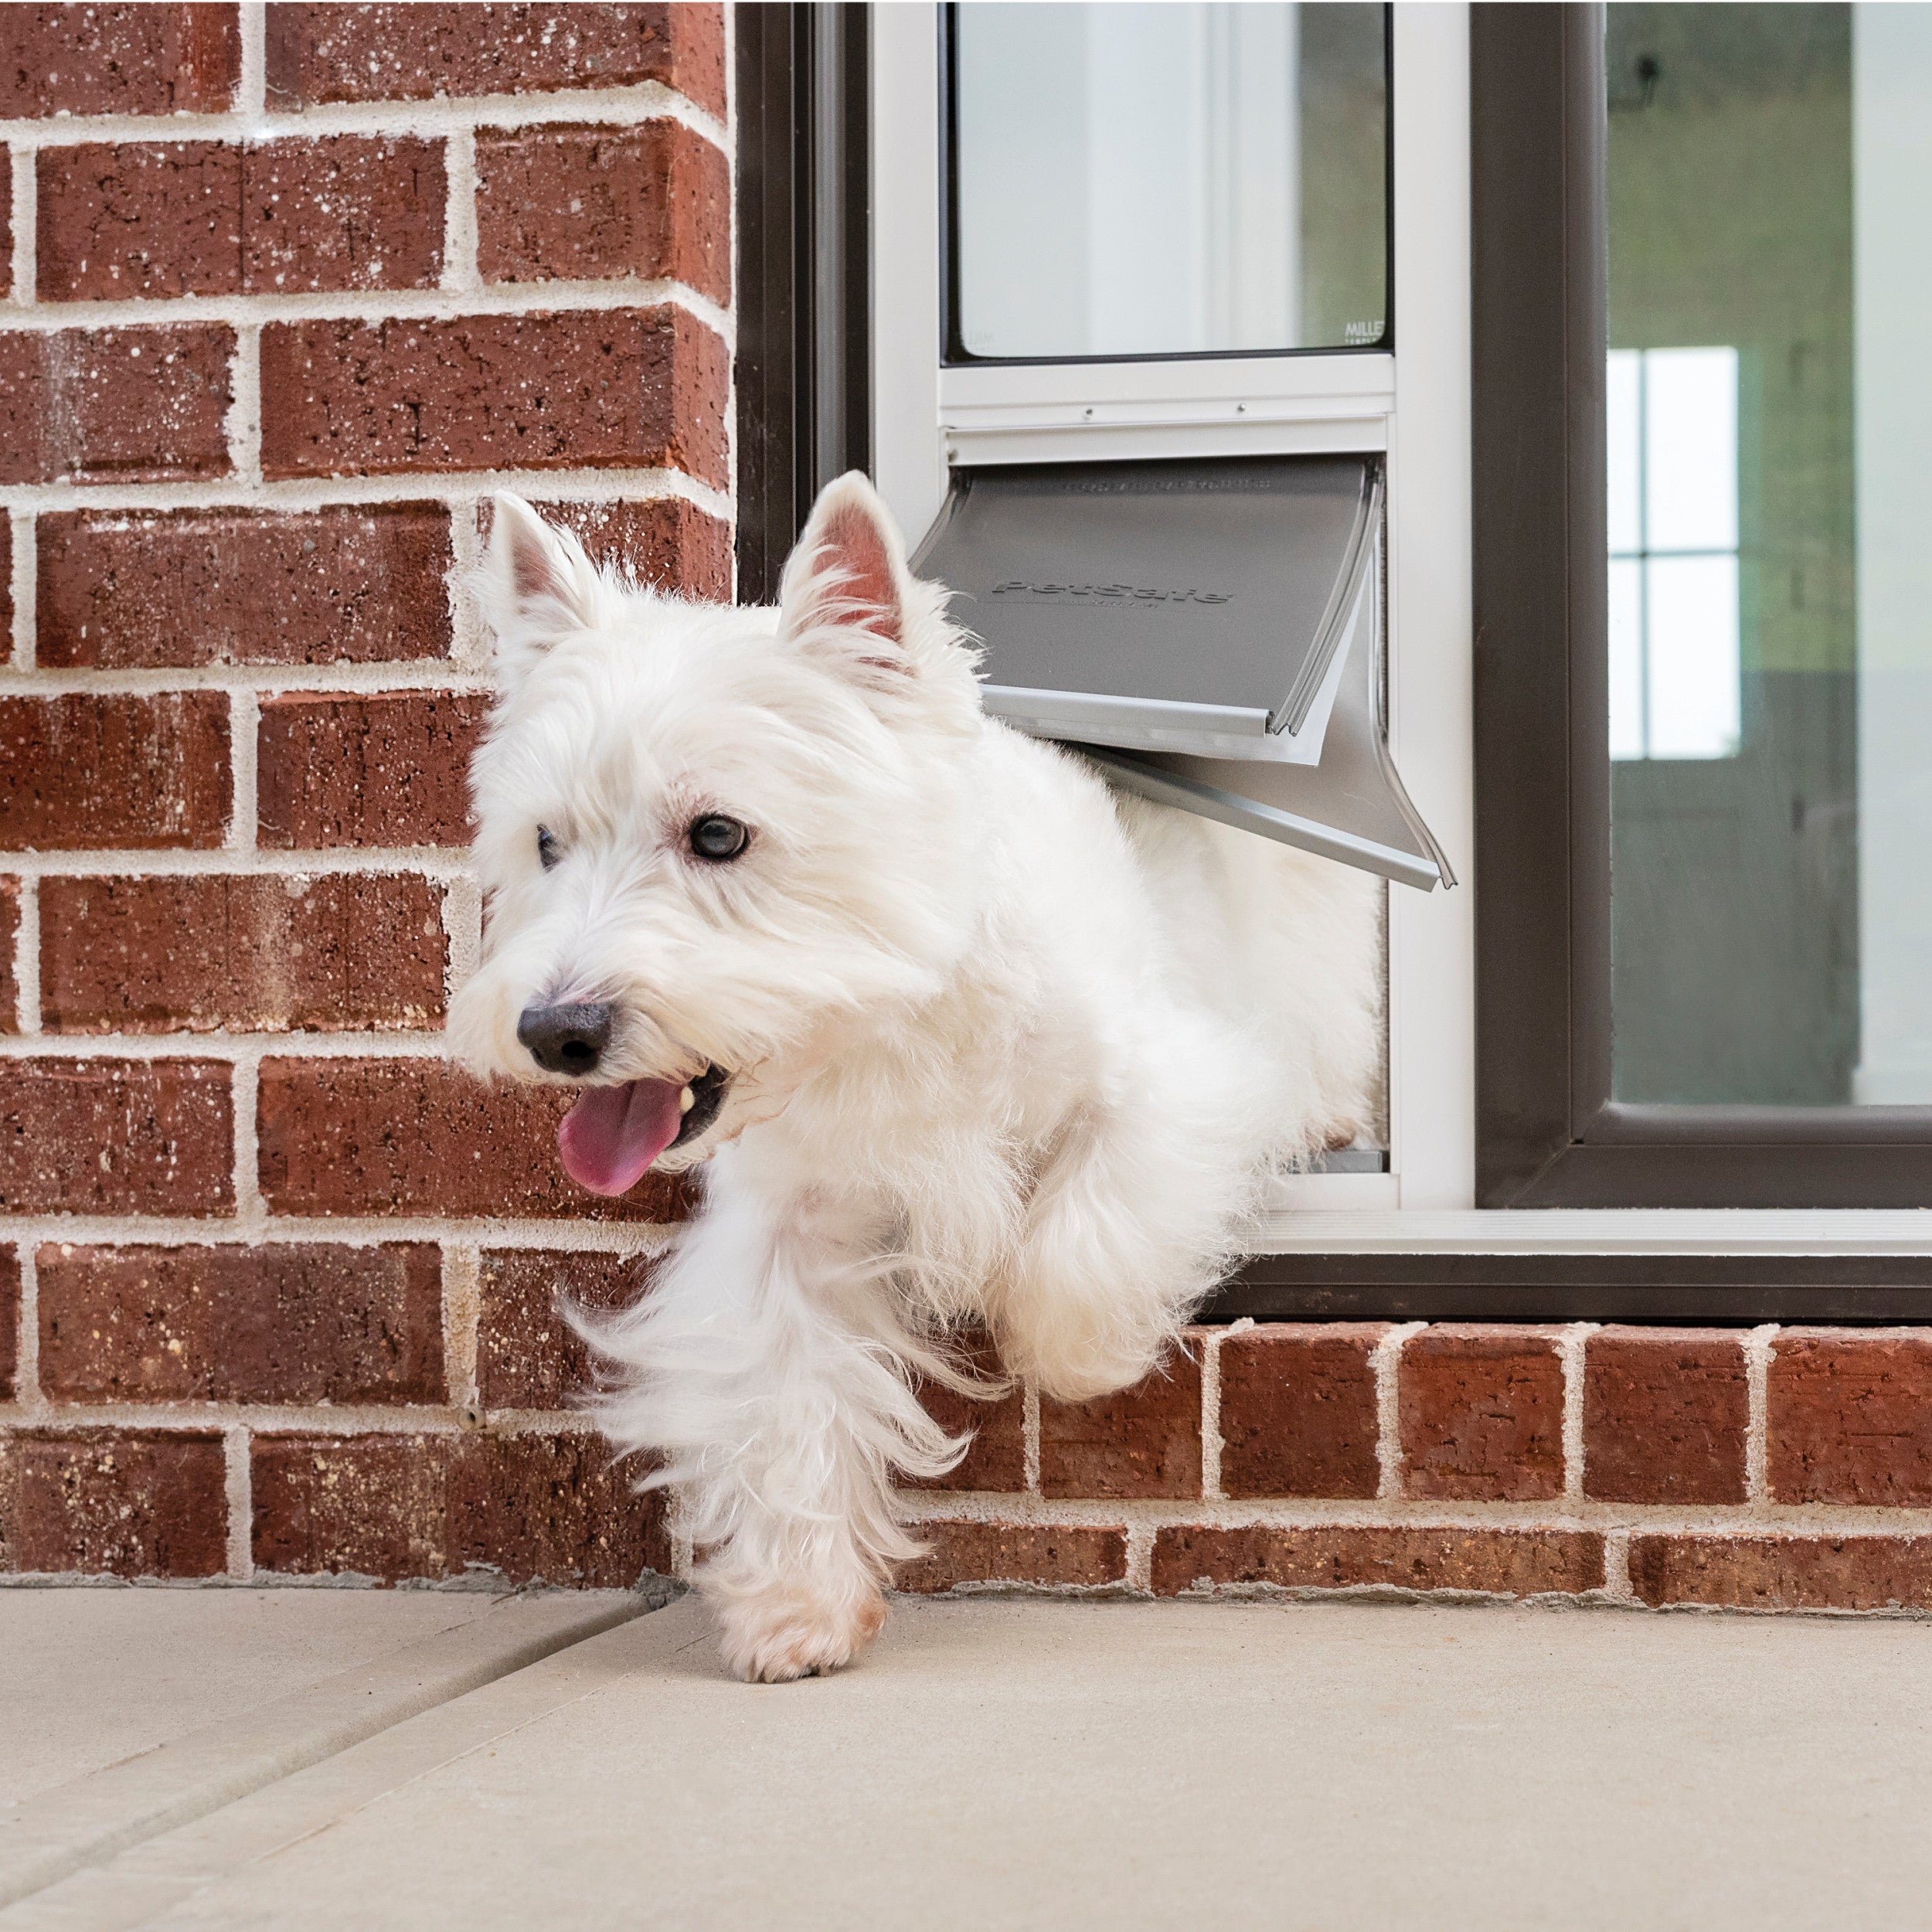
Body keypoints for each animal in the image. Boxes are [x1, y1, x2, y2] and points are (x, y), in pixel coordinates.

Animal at [454, 479, 1383, 1677]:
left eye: (719, 833)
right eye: (546, 843)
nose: (557, 1030)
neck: (890, 1017)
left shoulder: (1170, 1079)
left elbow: (1075, 1246)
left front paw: (1069, 1351)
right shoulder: (788, 1225)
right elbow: (788, 1394)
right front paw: (798, 1607)